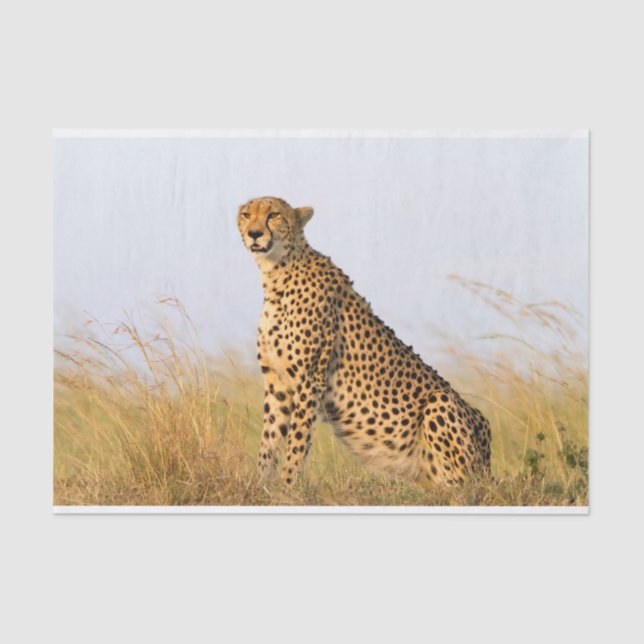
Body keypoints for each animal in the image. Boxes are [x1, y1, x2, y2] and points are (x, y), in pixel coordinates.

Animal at [237, 196, 491, 486]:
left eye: (274, 215)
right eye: (246, 215)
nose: (254, 233)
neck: (277, 273)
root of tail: (489, 466)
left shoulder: (309, 380)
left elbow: (298, 440)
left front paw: (289, 485)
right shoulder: (277, 382)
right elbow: (270, 438)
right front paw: (260, 483)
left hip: (441, 404)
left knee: (463, 486)